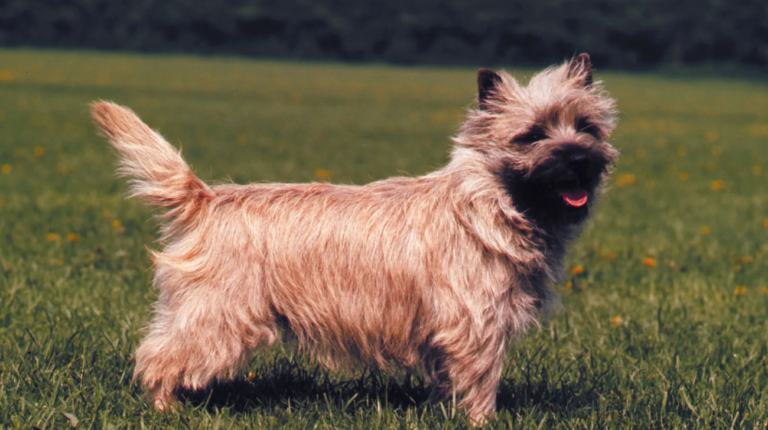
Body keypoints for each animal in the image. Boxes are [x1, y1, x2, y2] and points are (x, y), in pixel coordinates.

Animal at [90, 53, 616, 424]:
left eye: (587, 127)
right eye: (532, 135)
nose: (579, 159)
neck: (492, 205)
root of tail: (208, 198)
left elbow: (451, 378)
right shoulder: (476, 323)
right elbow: (481, 378)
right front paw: (481, 420)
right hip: (218, 316)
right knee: (157, 356)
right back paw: (165, 408)